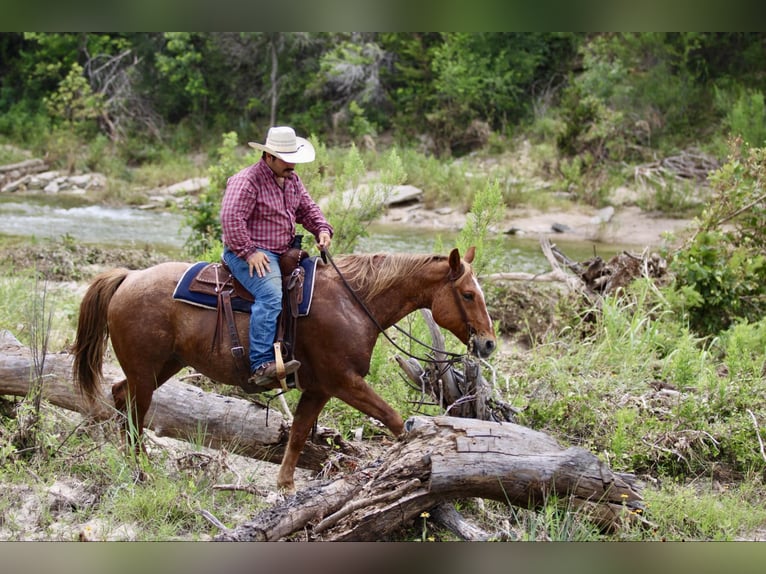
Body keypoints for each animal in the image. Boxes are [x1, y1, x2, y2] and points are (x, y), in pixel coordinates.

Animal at [72, 245, 498, 492]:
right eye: (467, 294)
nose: (489, 343)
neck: (353, 302)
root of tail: (129, 277)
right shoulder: (344, 382)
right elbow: (394, 419)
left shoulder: (320, 388)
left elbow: (297, 434)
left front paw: (286, 486)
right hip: (146, 370)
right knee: (134, 412)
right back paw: (141, 471)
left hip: (162, 367)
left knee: (120, 396)